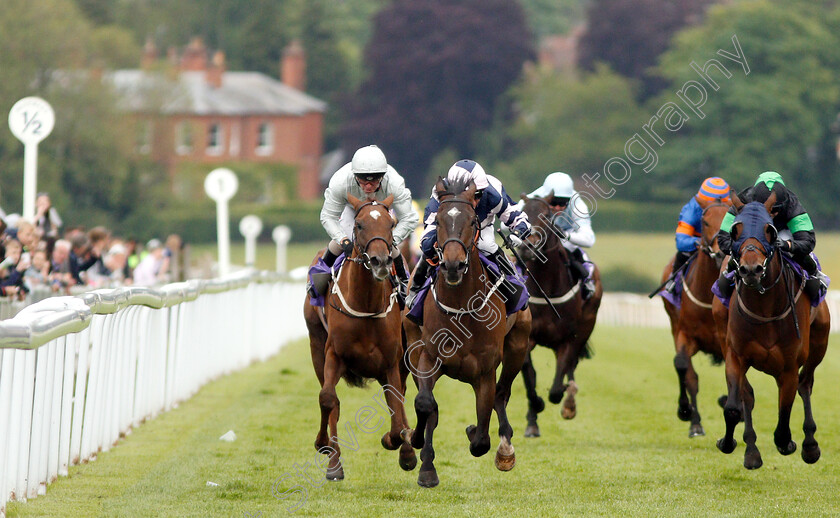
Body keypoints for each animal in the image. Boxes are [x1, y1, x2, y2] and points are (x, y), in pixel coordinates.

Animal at [306, 195, 416, 484]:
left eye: (391, 223)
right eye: (359, 224)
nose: (380, 261)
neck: (365, 304)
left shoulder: (391, 362)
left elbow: (396, 409)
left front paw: (401, 445)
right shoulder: (333, 354)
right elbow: (328, 398)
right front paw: (325, 448)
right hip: (316, 346)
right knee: (332, 401)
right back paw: (334, 461)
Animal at [402, 177, 532, 490]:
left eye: (473, 221)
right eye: (438, 221)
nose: (452, 264)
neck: (462, 306)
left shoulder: (485, 371)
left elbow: (481, 438)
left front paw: (477, 433)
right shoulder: (428, 357)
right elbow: (425, 404)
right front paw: (420, 452)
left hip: (517, 347)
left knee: (502, 393)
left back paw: (505, 449)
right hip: (412, 348)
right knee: (431, 408)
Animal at [516, 192, 600, 438]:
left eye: (546, 216)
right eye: (523, 213)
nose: (527, 247)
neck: (546, 288)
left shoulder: (567, 340)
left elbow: (555, 388)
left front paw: (565, 396)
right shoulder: (527, 338)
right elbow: (530, 379)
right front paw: (534, 413)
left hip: (586, 326)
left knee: (572, 366)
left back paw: (569, 398)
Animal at [660, 198, 732, 438]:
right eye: (705, 221)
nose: (720, 253)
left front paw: (726, 400)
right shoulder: (685, 334)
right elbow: (684, 368)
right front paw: (687, 414)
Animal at [712, 195, 832, 472]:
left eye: (770, 230)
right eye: (735, 230)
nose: (751, 269)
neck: (764, 306)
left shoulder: (788, 367)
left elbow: (784, 415)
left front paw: (788, 443)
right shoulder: (735, 356)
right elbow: (734, 407)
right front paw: (728, 442)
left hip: (819, 344)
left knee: (805, 383)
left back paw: (810, 445)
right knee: (747, 395)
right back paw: (751, 450)